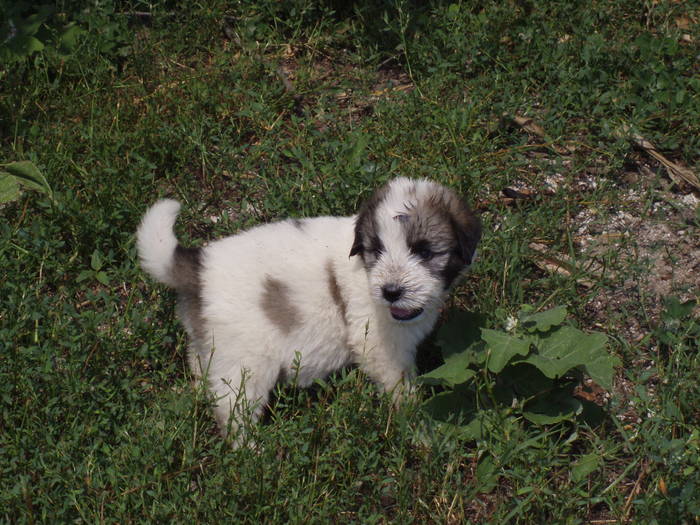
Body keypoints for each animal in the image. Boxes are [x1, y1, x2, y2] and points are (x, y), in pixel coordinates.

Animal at [139, 177, 484, 438]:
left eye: (424, 251)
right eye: (377, 250)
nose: (391, 292)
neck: (364, 271)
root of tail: (199, 266)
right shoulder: (380, 345)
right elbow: (401, 388)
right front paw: (421, 427)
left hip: (211, 350)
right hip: (245, 365)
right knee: (234, 411)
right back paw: (251, 452)